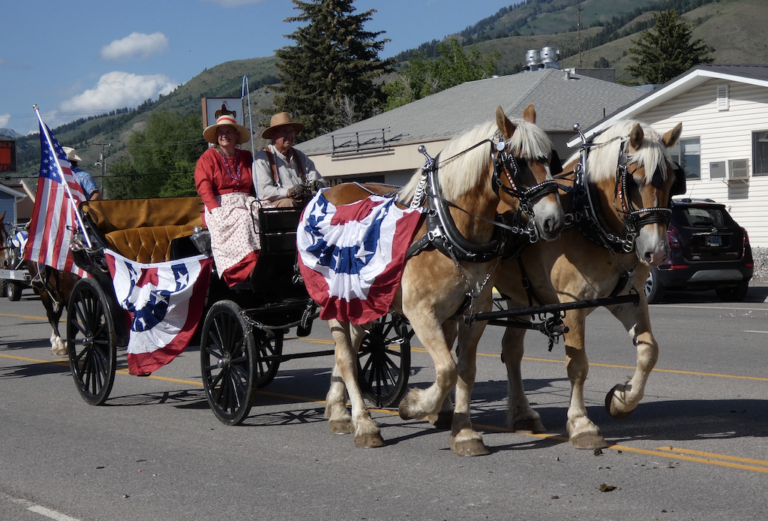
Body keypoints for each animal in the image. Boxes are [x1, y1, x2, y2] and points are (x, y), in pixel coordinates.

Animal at [318, 104, 565, 455]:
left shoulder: (473, 314)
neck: (448, 230)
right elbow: (446, 369)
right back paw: (363, 424)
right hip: (337, 302)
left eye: (549, 159)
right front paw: (414, 406)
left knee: (350, 350)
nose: (552, 221)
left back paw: (338, 410)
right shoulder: (421, 313)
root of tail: (330, 188)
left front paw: (463, 432)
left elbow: (464, 370)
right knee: (345, 357)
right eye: (517, 162)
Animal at [495, 119, 683, 449]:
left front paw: (621, 399)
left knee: (512, 350)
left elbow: (649, 352)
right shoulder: (571, 304)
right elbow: (578, 365)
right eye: (634, 181)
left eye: (673, 183)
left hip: (518, 297)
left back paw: (522, 416)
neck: (589, 218)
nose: (657, 252)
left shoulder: (628, 298)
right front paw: (582, 424)